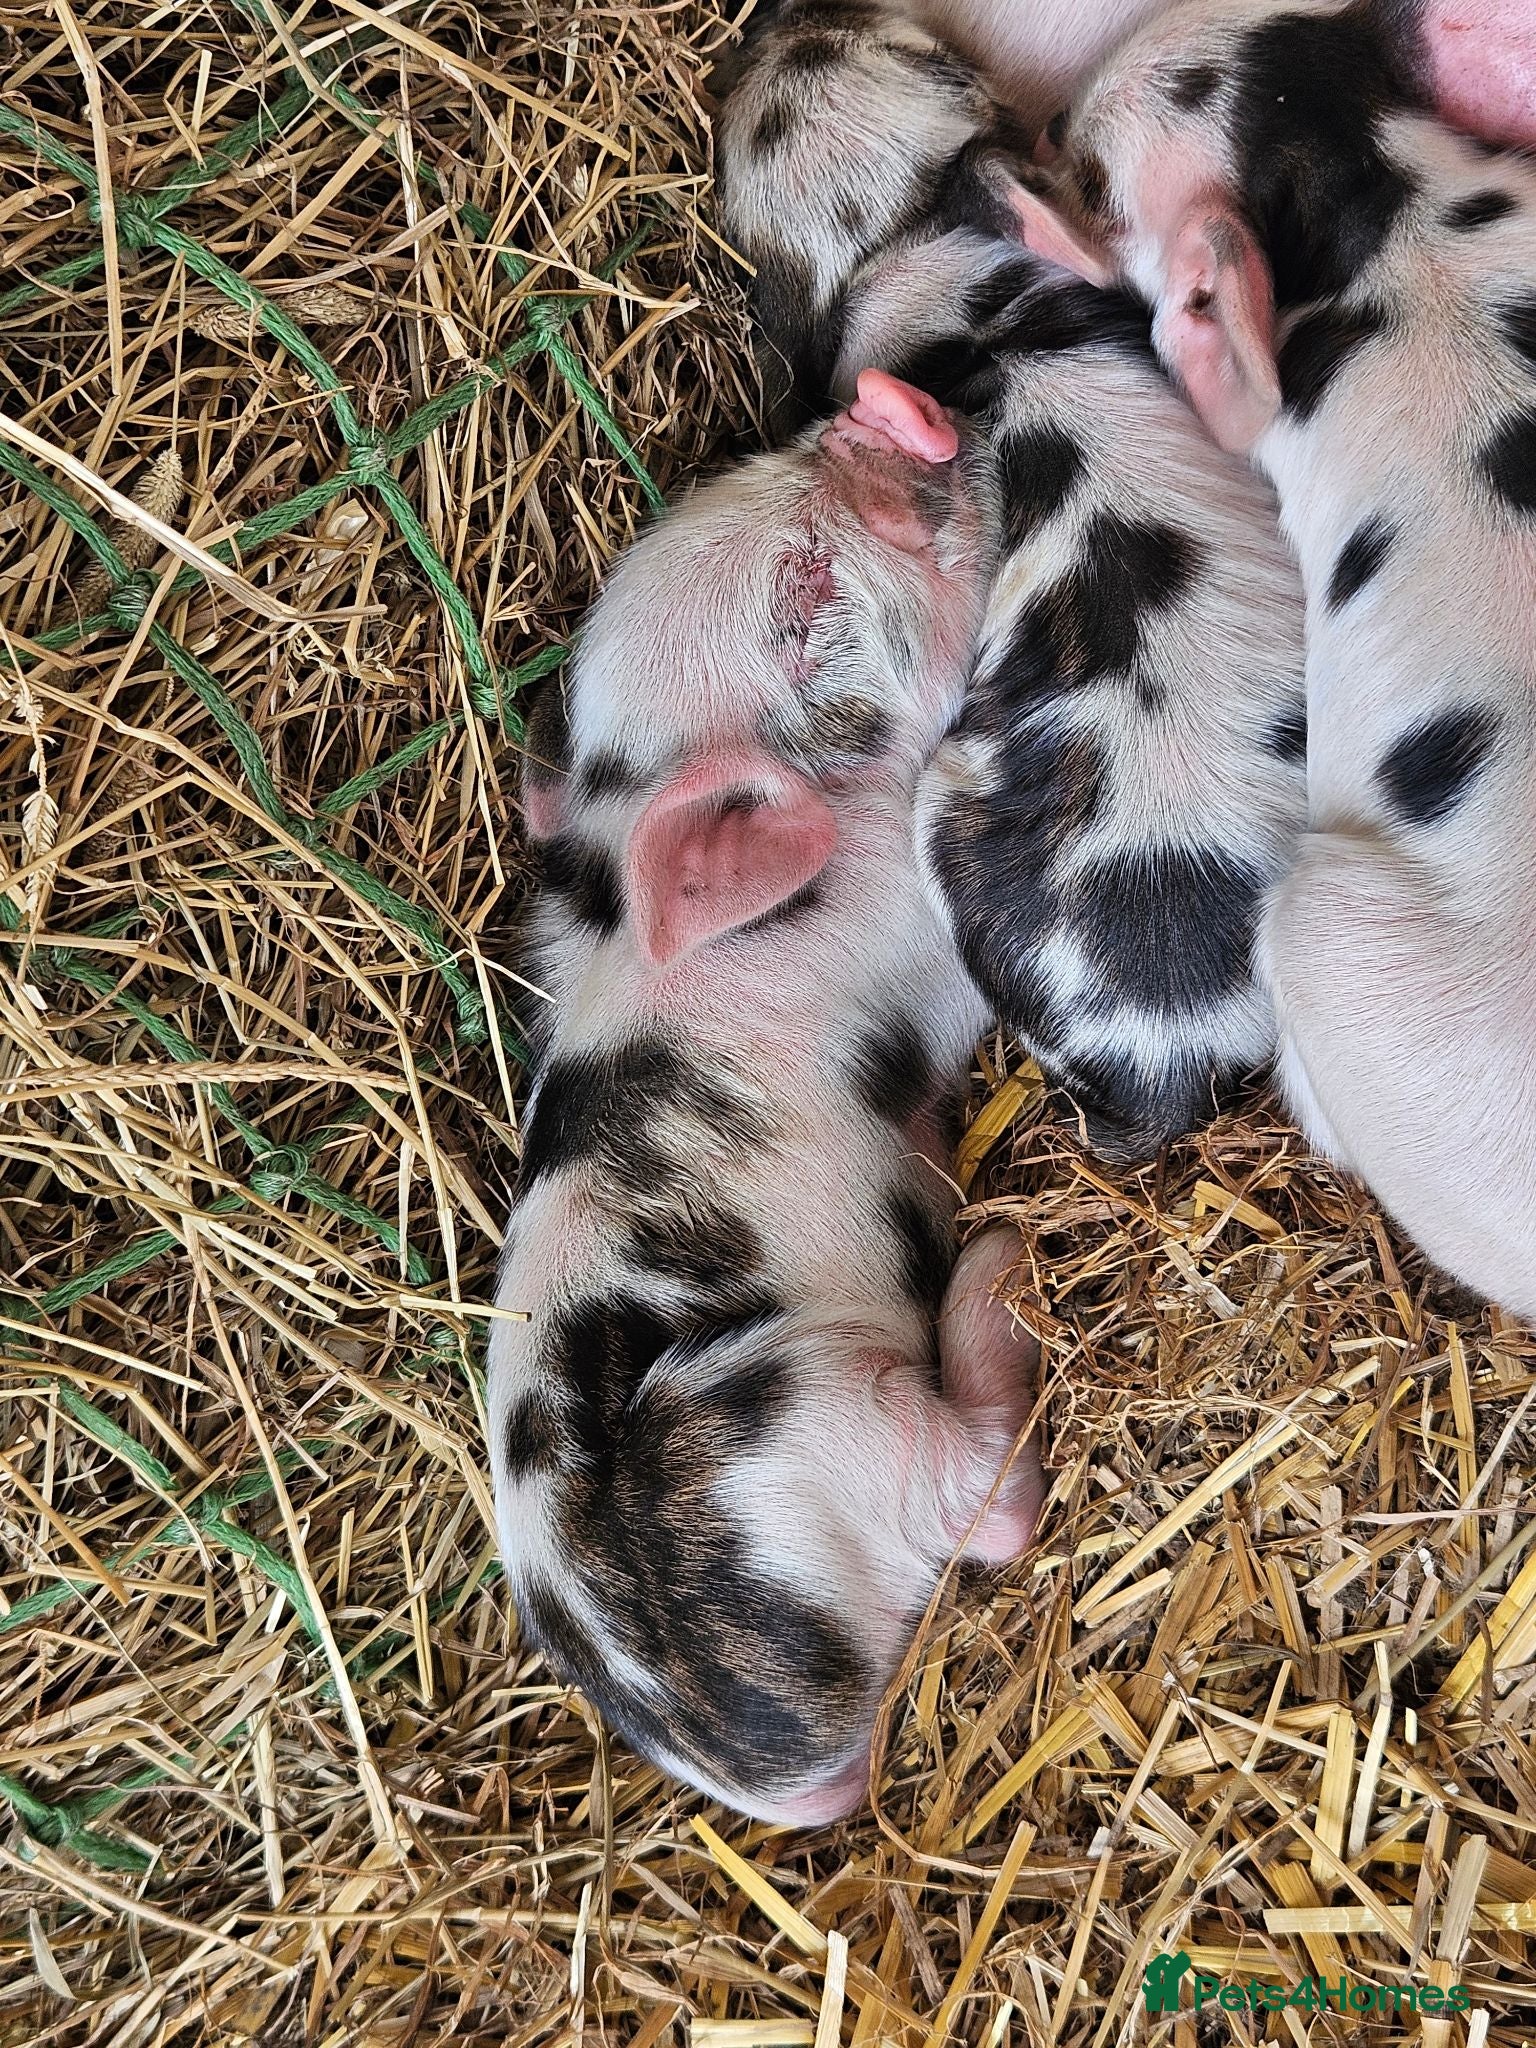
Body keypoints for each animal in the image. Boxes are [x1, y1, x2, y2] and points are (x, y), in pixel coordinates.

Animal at [491, 371, 1047, 1825]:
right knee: (987, 1499)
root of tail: (772, 1762)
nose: (888, 406)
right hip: (815, 1417)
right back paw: (1000, 1268)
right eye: (802, 600)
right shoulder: (914, 924)